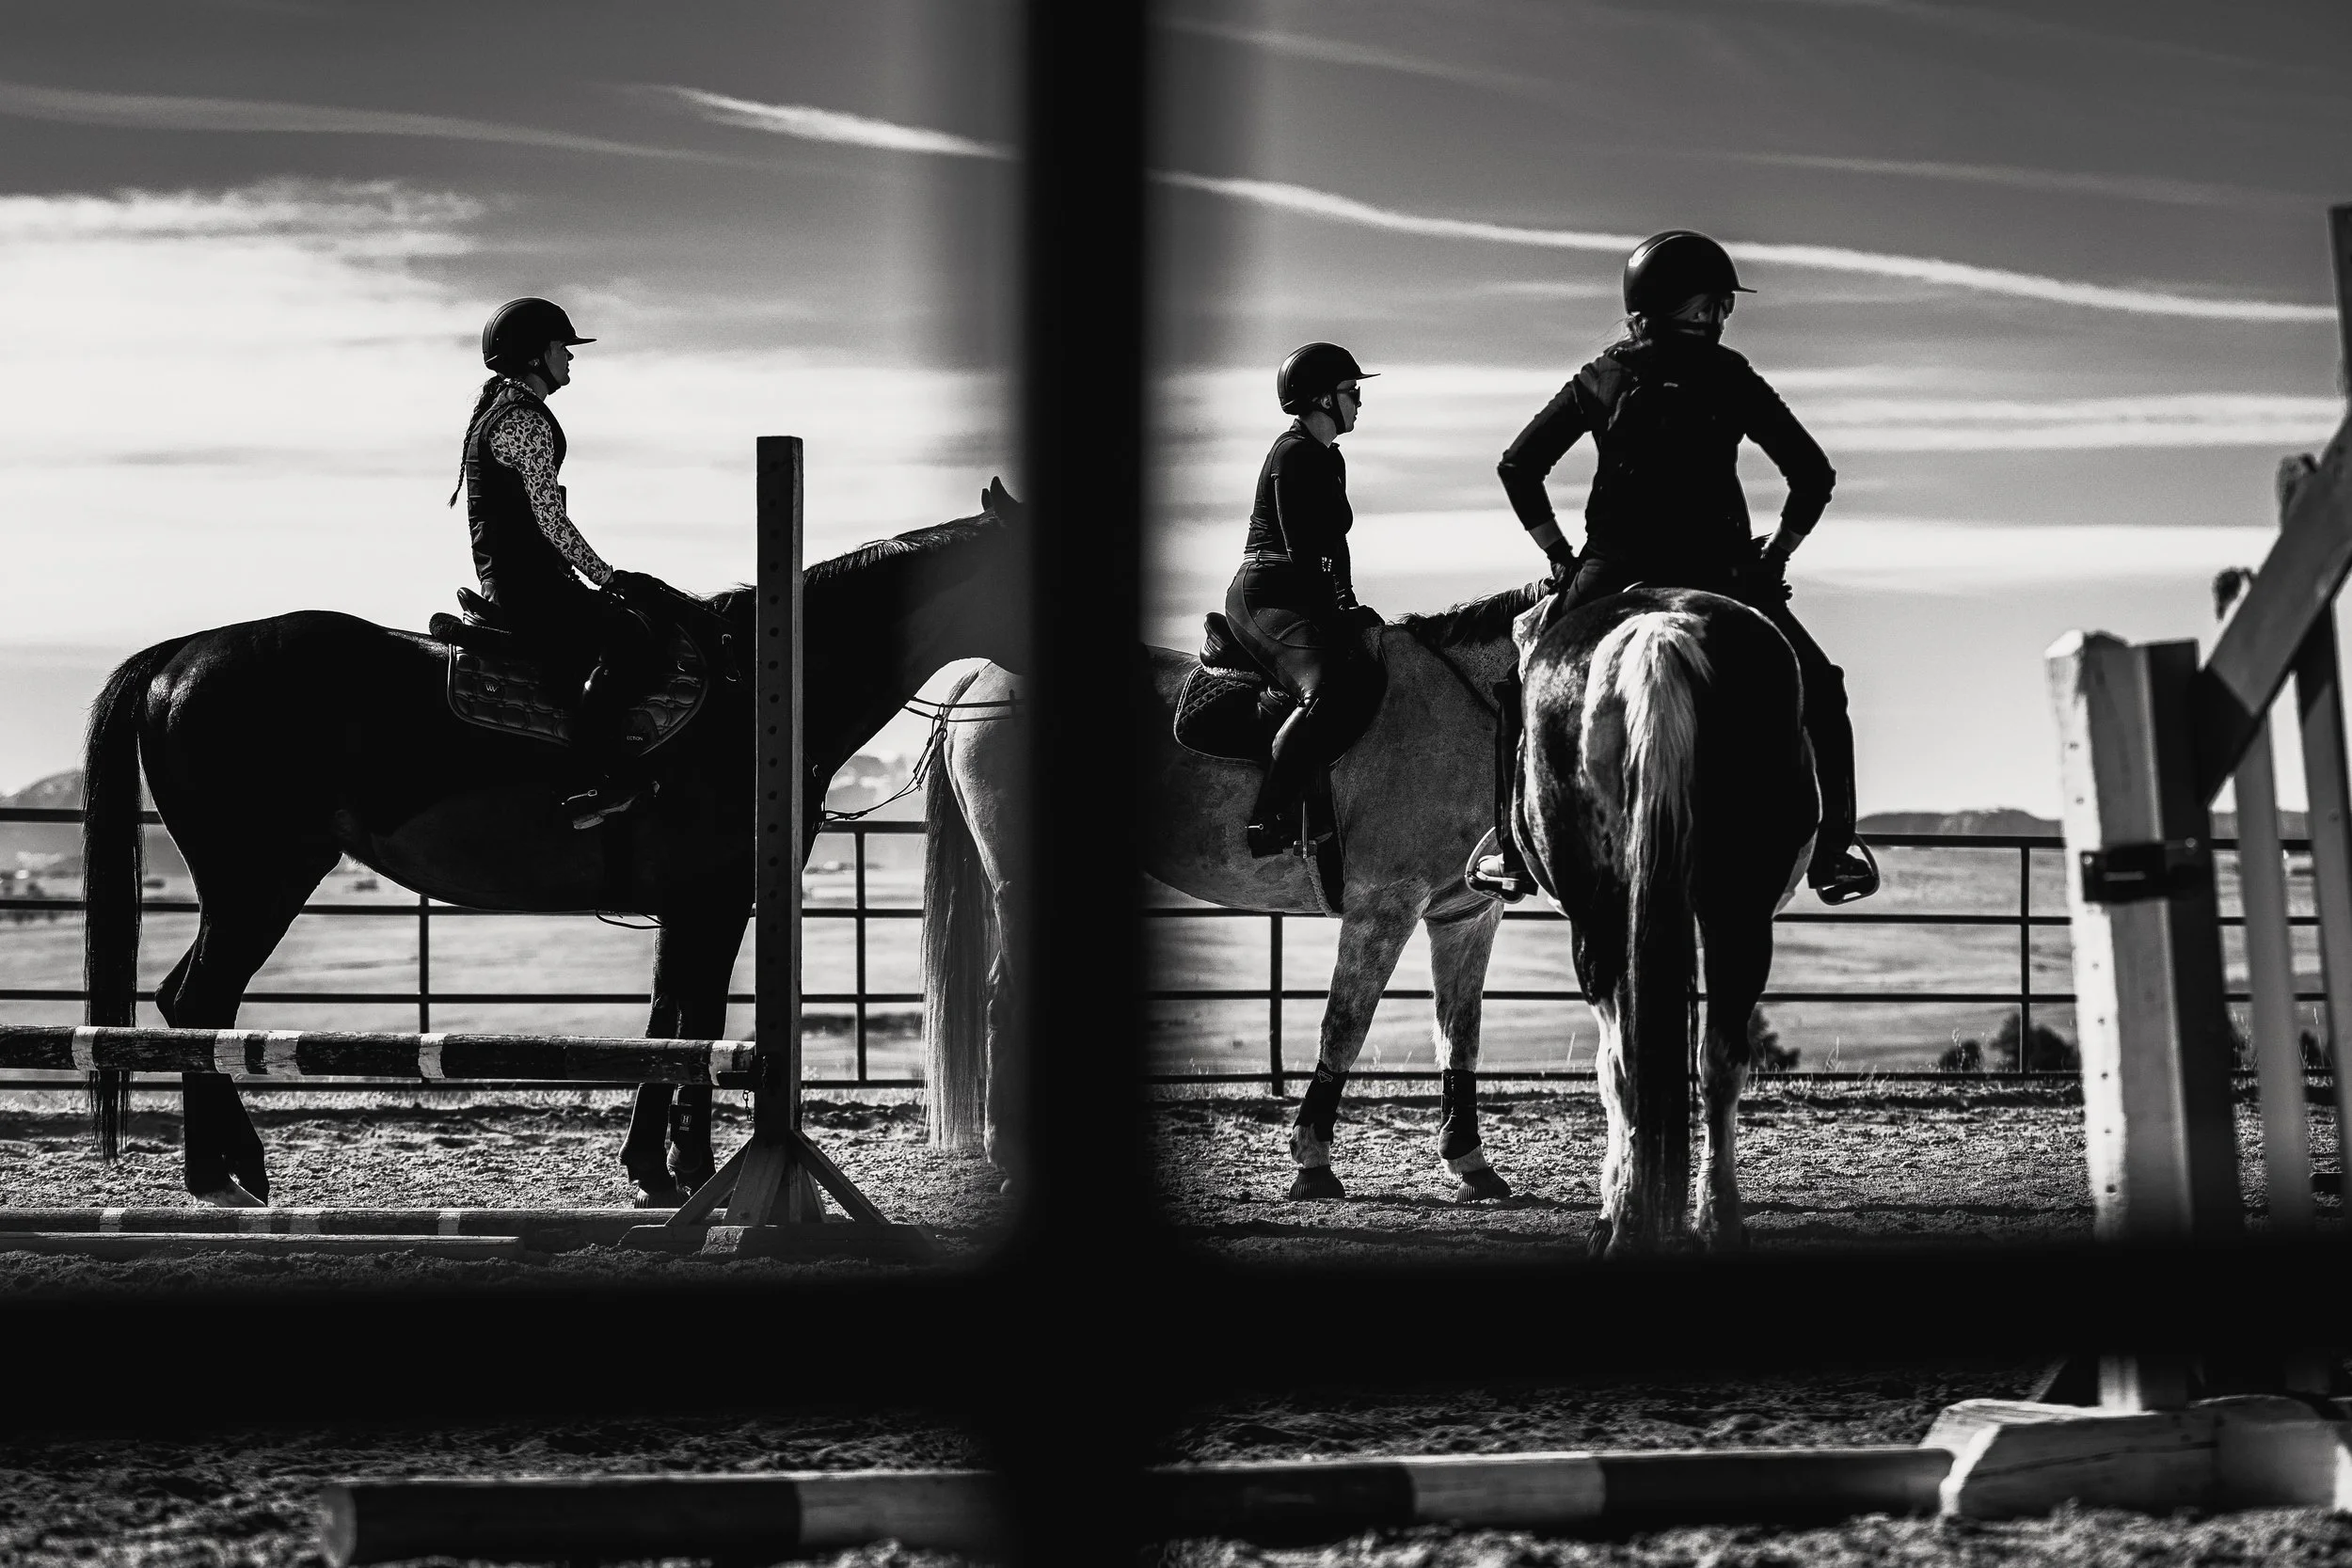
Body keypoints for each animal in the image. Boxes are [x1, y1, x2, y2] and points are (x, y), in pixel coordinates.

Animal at [82, 482, 1027, 1207]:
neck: (755, 694)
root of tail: (180, 657)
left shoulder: (691, 908)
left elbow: (673, 1022)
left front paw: (660, 1165)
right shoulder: (714, 901)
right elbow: (695, 1022)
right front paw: (679, 1167)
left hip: (247, 887)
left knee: (186, 1004)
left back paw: (218, 1169)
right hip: (259, 882)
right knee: (197, 1002)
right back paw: (228, 1168)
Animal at [919, 582, 1550, 1199]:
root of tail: (987, 678)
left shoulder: (1464, 917)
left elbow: (1460, 1036)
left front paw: (1468, 1160)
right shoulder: (1383, 908)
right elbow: (1345, 1027)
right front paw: (1312, 1159)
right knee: (1003, 1001)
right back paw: (1010, 1159)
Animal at [1512, 586, 1816, 1256]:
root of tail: (1659, 631)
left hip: (1601, 917)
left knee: (1625, 1061)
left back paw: (1626, 1221)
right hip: (1738, 911)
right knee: (1717, 1058)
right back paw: (1715, 1221)